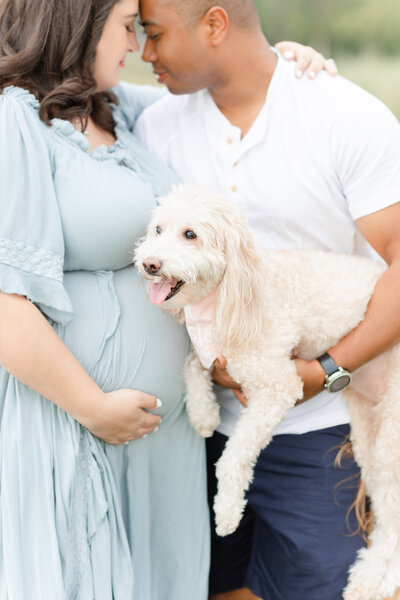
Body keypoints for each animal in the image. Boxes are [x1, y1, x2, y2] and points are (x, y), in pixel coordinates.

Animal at [134, 184, 400, 600]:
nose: (150, 264)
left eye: (190, 235)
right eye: (158, 229)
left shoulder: (278, 385)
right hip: (367, 433)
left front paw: (227, 513)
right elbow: (193, 365)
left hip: (391, 435)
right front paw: (204, 414)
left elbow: (232, 458)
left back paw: (375, 579)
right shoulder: (214, 353)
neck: (235, 290)